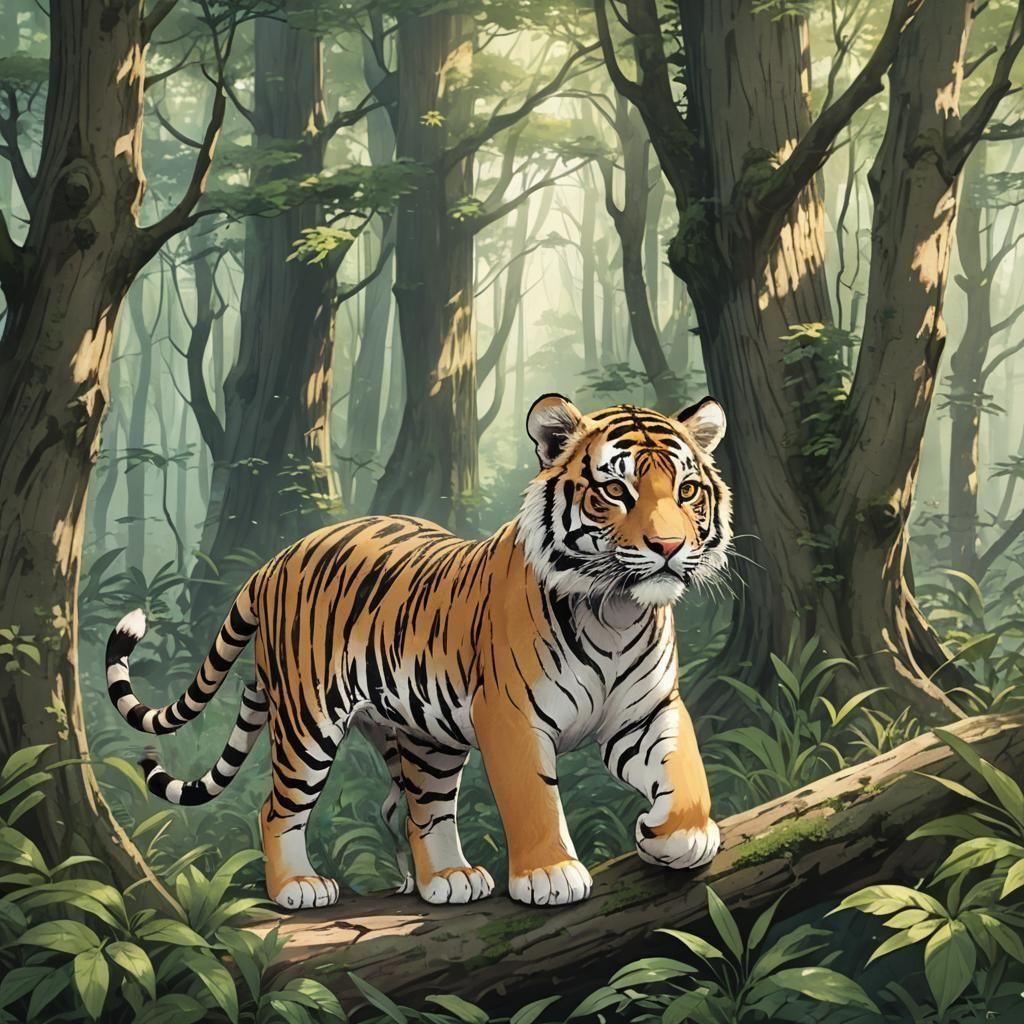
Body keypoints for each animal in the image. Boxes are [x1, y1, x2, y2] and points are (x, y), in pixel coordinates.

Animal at [105, 394, 732, 910]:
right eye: (615, 491)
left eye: (687, 490)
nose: (670, 546)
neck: (616, 612)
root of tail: (275, 559)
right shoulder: (511, 716)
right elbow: (533, 797)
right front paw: (550, 874)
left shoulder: (647, 711)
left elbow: (686, 766)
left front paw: (678, 833)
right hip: (308, 722)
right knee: (276, 808)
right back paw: (298, 888)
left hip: (426, 735)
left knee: (419, 810)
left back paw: (448, 879)